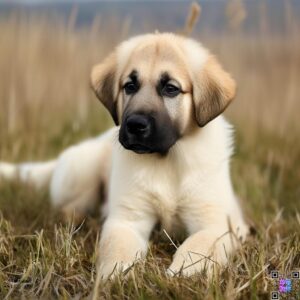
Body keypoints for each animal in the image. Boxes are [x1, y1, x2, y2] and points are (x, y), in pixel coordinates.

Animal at [0, 32, 248, 278]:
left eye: (170, 88)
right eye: (130, 86)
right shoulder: (127, 219)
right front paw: (117, 277)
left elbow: (199, 247)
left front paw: (183, 273)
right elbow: (117, 249)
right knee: (69, 206)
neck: (166, 160)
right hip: (79, 172)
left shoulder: (217, 223)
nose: (135, 125)